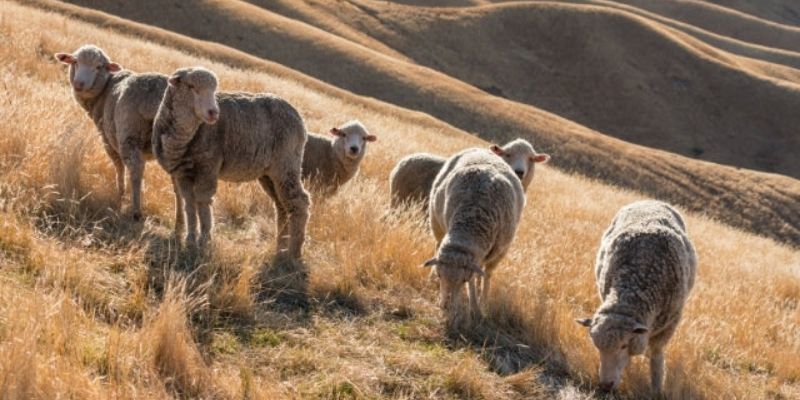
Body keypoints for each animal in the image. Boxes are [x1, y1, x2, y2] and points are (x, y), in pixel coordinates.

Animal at [55, 46, 178, 225]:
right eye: (75, 62)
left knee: (135, 169)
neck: (105, 89)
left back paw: (136, 211)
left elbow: (118, 166)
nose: (78, 83)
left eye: (98, 67)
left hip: (129, 134)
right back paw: (180, 222)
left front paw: (120, 192)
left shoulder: (108, 139)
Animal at [152, 67, 310, 258]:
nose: (214, 112)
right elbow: (189, 203)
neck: (187, 135)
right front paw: (190, 240)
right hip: (269, 173)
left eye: (214, 90)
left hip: (286, 164)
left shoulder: (208, 167)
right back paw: (280, 246)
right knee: (281, 206)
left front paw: (204, 242)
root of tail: (299, 117)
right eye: (191, 86)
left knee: (299, 202)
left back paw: (293, 253)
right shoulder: (184, 172)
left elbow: (203, 203)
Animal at [422, 148, 528, 326]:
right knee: (437, 245)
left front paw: (477, 307)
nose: (445, 306)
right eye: (440, 275)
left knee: (485, 273)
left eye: (463, 280)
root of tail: (483, 149)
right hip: (437, 223)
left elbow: (481, 277)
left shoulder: (497, 252)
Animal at [580, 200, 696, 394]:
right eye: (597, 346)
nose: (605, 386)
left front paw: (657, 388)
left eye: (624, 345)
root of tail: (651, 201)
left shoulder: (670, 324)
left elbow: (656, 356)